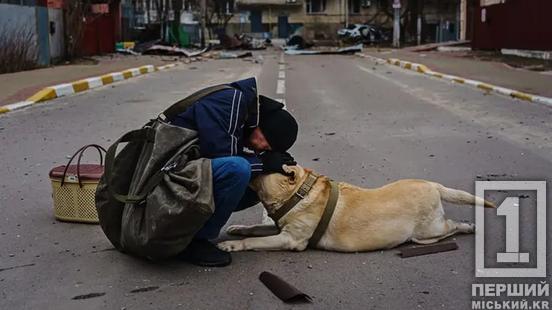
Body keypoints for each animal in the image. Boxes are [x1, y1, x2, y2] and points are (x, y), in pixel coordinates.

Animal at [217, 166, 496, 253]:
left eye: (264, 164)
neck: (298, 194)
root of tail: (434, 185)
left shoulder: (290, 239)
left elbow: (255, 241)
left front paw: (233, 245)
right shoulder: (280, 227)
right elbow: (255, 228)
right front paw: (238, 228)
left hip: (427, 232)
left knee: (451, 227)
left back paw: (468, 227)